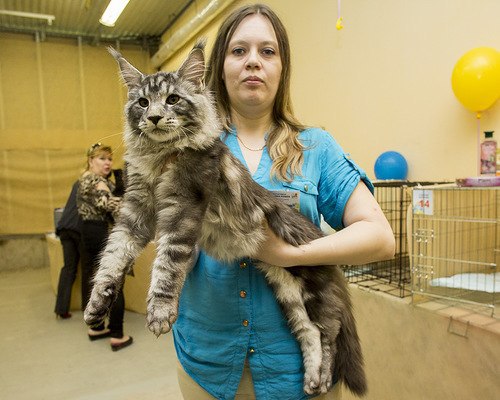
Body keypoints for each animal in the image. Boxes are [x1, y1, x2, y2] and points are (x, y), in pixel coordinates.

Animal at [84, 41, 367, 397]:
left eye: (173, 99)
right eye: (143, 102)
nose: (155, 117)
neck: (158, 158)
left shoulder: (183, 209)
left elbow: (166, 265)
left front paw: (160, 312)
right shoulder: (134, 210)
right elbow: (112, 258)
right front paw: (97, 304)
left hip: (315, 294)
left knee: (329, 336)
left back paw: (324, 379)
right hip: (290, 296)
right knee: (310, 335)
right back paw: (312, 379)